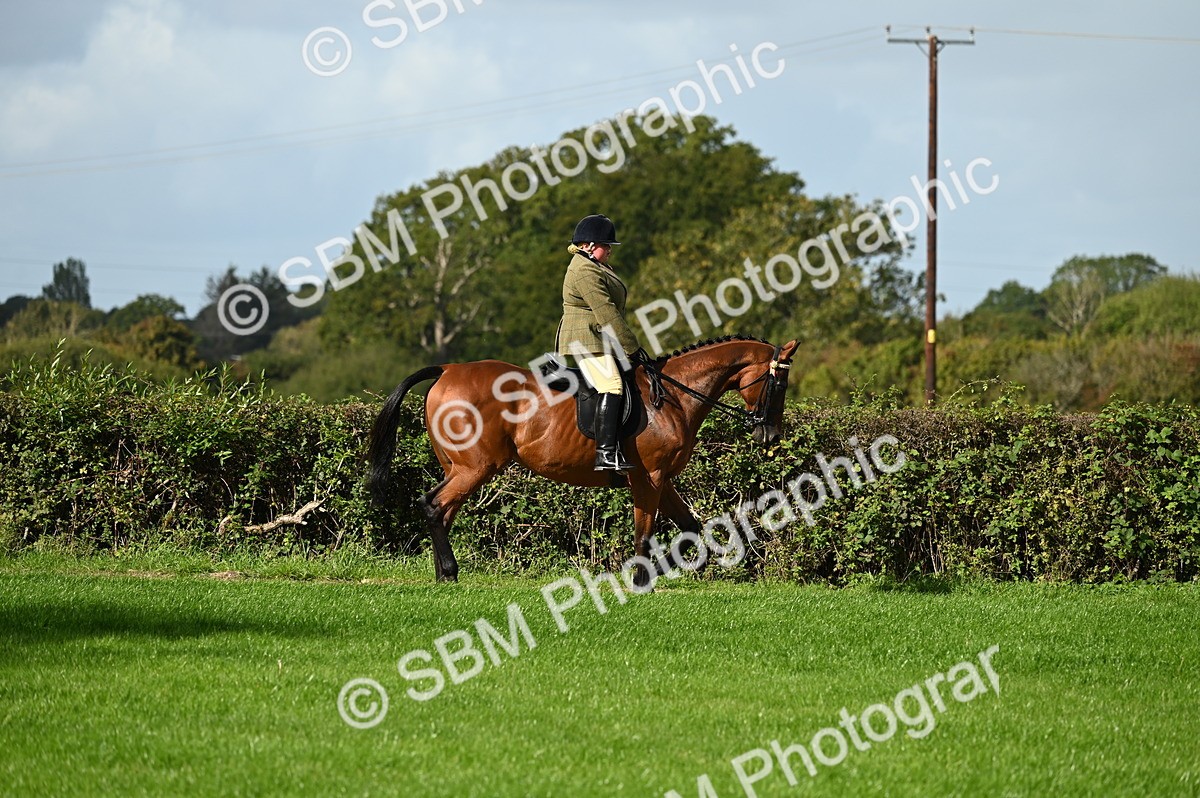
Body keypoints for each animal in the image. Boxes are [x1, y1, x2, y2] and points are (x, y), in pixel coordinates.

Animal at [367, 335, 800, 586]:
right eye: (778, 383)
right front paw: (640, 580)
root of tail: (446, 370)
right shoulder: (649, 478)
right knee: (433, 505)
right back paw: (449, 573)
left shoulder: (664, 480)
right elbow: (644, 531)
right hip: (476, 468)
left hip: (459, 468)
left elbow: (691, 525)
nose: (770, 436)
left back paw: (444, 573)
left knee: (440, 510)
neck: (675, 396)